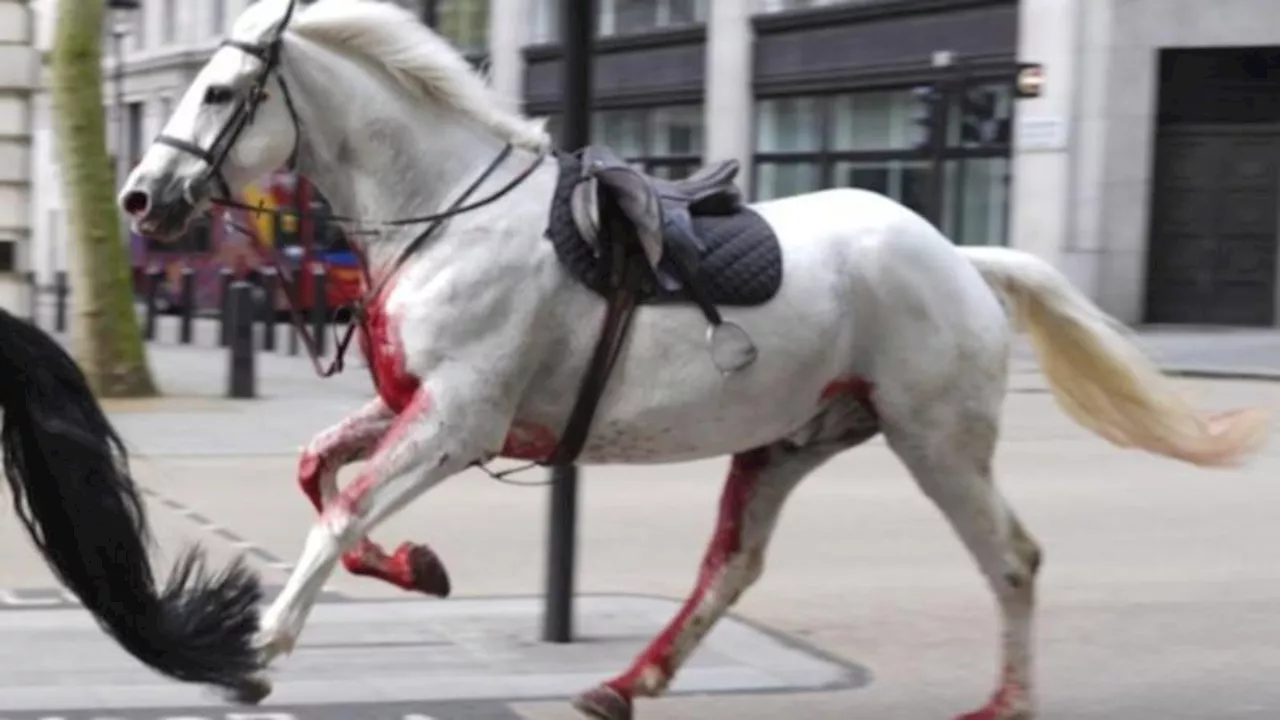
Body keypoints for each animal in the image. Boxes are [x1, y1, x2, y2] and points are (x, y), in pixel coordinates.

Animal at [120, 1, 1269, 717]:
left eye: (219, 92)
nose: (138, 198)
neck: (447, 216)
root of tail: (957, 256)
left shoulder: (457, 420)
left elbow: (343, 511)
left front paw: (257, 653)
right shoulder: (422, 409)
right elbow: (319, 475)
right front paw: (416, 568)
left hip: (934, 440)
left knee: (1012, 559)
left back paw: (1004, 701)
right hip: (791, 441)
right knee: (732, 566)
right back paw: (625, 684)